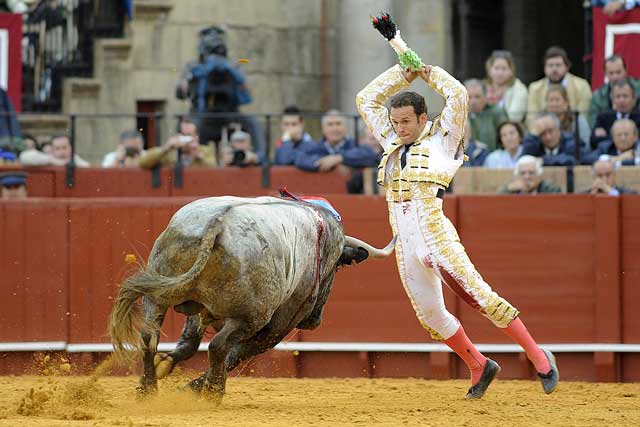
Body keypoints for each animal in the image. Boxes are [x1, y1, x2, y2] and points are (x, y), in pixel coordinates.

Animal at [109, 196, 396, 400]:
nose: (315, 320)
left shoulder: (200, 308)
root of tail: (217, 222)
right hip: (252, 317)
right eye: (338, 266)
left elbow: (190, 341)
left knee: (149, 337)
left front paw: (167, 365)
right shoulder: (279, 326)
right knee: (219, 347)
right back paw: (213, 393)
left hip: (157, 296)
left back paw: (148, 389)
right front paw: (192, 387)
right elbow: (237, 354)